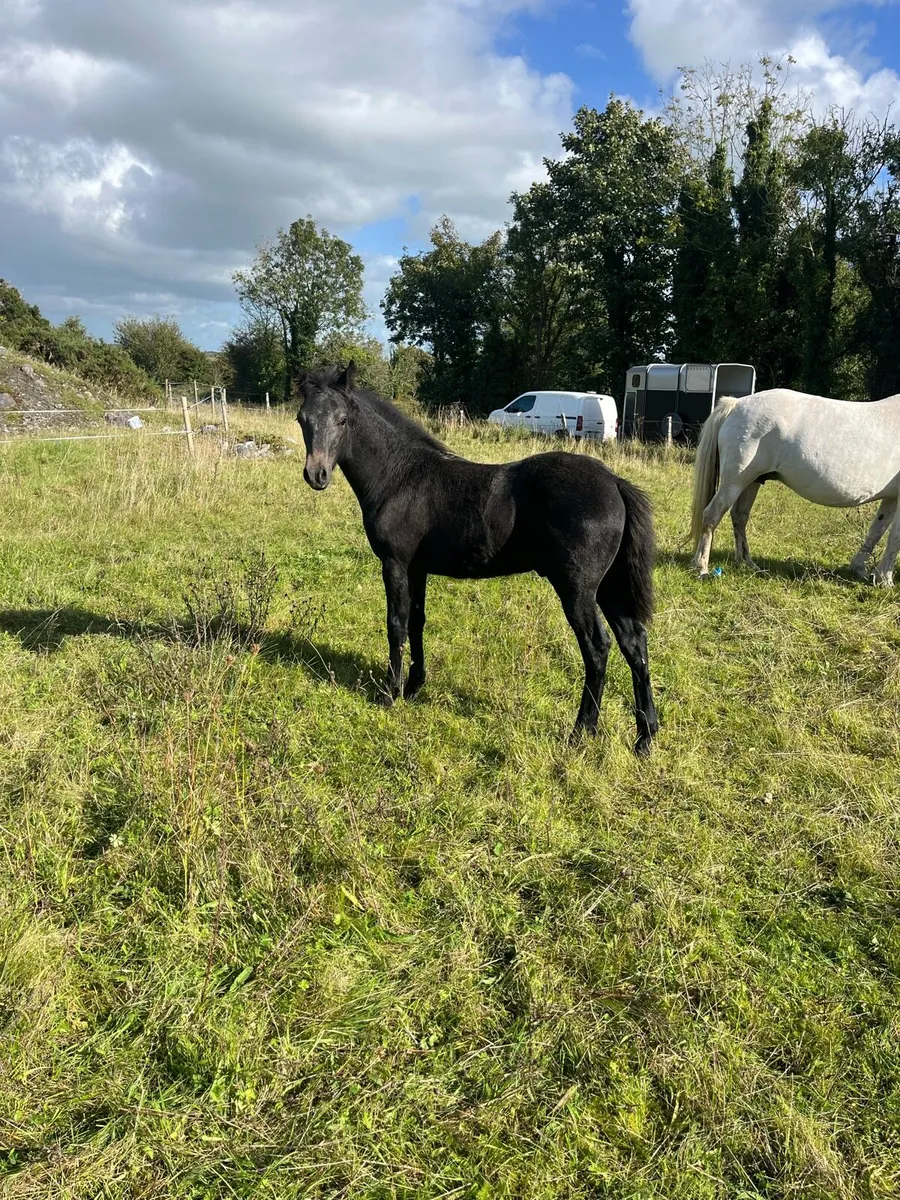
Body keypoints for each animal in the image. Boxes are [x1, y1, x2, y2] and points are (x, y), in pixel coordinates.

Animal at [295, 363, 660, 755]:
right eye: (302, 419)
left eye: (343, 420)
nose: (316, 475)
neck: (400, 477)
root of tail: (614, 483)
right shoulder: (418, 568)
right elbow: (417, 621)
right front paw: (414, 686)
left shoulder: (395, 563)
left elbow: (396, 624)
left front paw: (390, 694)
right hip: (610, 587)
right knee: (634, 643)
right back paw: (645, 737)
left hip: (578, 589)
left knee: (597, 648)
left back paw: (581, 732)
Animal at [690, 389, 900, 585]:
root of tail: (736, 404)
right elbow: (894, 538)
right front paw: (885, 580)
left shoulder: (892, 498)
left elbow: (877, 530)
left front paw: (861, 570)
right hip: (734, 481)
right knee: (711, 515)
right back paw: (702, 568)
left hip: (752, 481)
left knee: (739, 517)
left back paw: (747, 563)